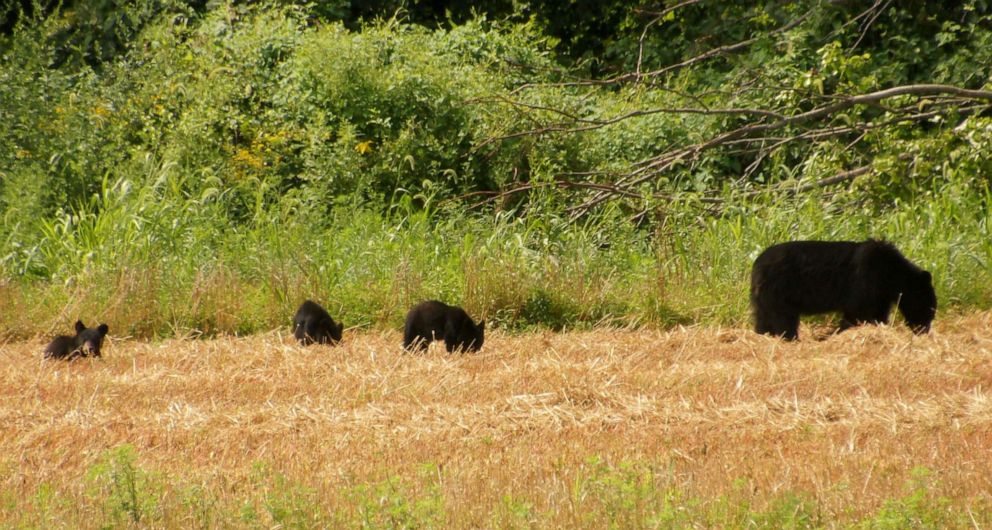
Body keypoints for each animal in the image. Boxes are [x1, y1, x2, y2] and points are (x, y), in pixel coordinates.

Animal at [752, 239, 936, 338]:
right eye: (929, 308)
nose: (924, 330)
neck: (891, 274)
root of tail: (757, 265)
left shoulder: (880, 295)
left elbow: (876, 315)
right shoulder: (867, 281)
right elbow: (858, 312)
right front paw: (829, 335)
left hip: (764, 297)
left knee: (764, 318)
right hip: (780, 291)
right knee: (783, 318)